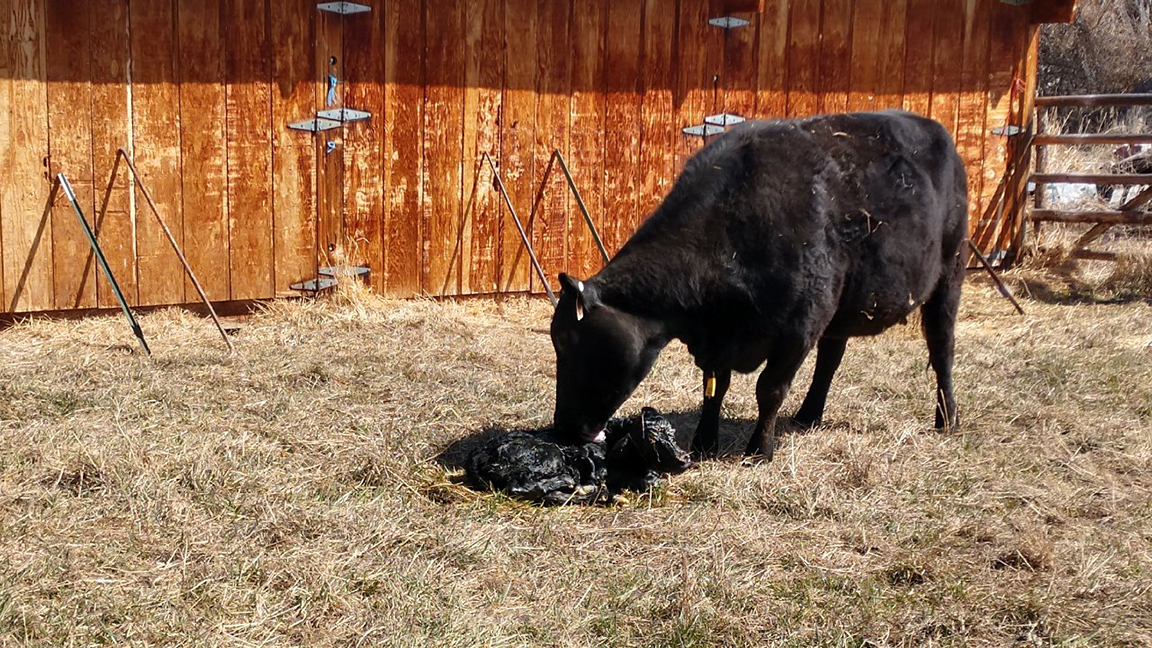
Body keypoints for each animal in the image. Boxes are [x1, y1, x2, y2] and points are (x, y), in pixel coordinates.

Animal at [549, 110, 968, 461]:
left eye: (569, 342)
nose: (563, 428)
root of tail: (934, 127)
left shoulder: (799, 327)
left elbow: (769, 389)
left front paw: (759, 450)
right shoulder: (719, 339)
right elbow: (715, 387)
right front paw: (704, 442)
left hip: (949, 272)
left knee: (942, 348)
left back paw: (947, 419)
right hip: (842, 304)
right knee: (831, 357)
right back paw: (808, 415)